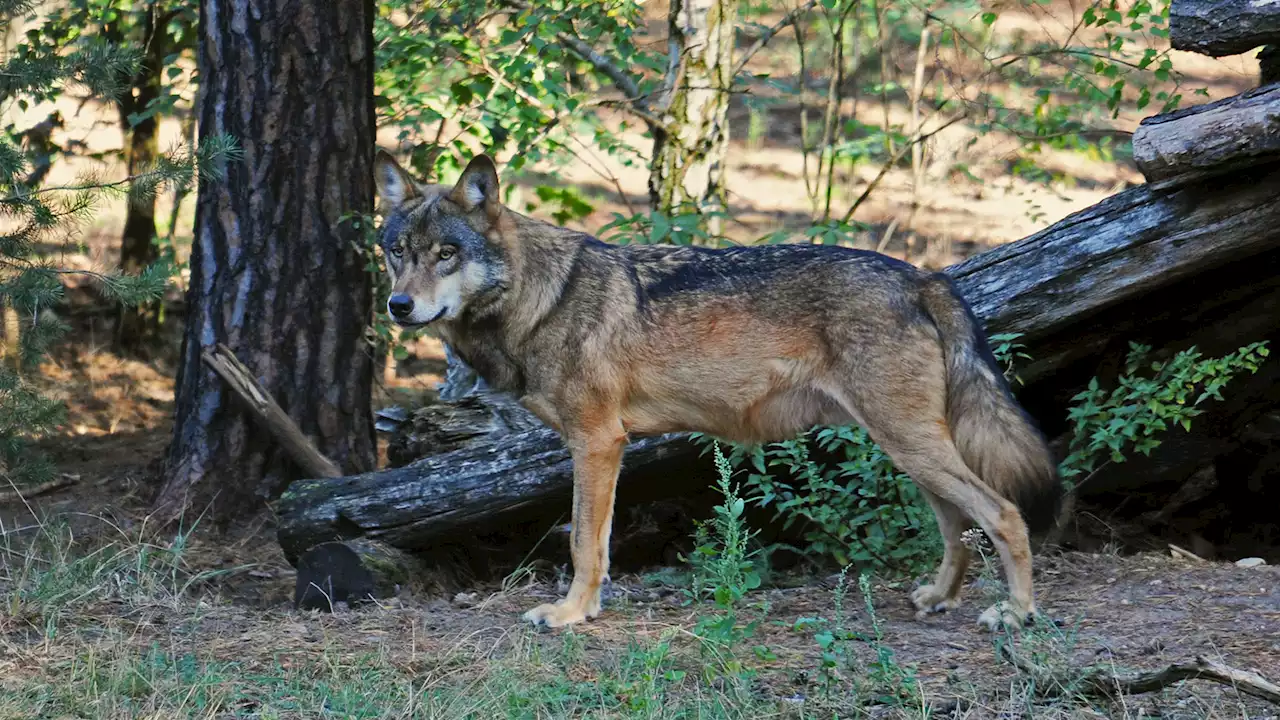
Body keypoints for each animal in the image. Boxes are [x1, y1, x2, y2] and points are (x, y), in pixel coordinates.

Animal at [373, 149, 1064, 627]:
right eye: (397, 252)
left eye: (446, 254)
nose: (398, 306)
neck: (542, 299)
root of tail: (923, 276)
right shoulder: (599, 446)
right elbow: (594, 543)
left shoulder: (598, 443)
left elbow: (583, 543)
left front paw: (570, 615)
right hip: (908, 451)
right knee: (958, 526)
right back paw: (939, 598)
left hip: (912, 446)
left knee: (1004, 514)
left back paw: (1018, 614)